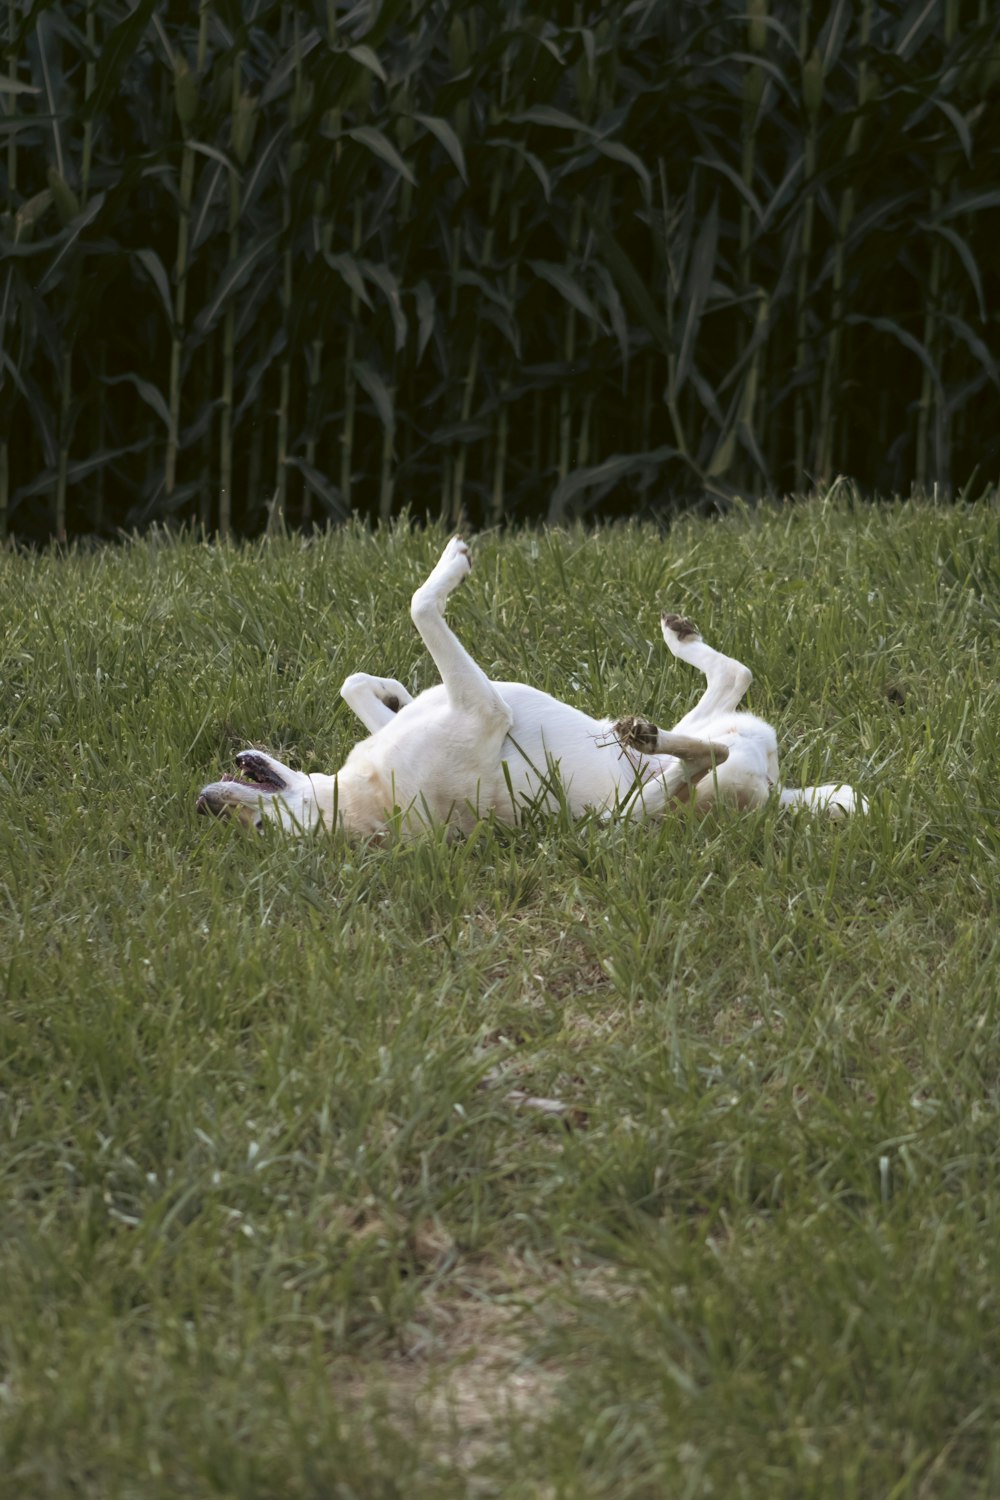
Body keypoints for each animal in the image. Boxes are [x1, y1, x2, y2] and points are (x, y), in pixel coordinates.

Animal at [197, 540, 869, 840]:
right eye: (260, 832)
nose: (206, 803)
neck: (361, 798)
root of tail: (775, 795)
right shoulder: (483, 704)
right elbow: (421, 604)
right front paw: (451, 566)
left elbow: (356, 683)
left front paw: (394, 690)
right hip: (644, 806)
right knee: (707, 749)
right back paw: (645, 734)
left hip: (701, 723)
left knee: (733, 680)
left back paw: (677, 640)